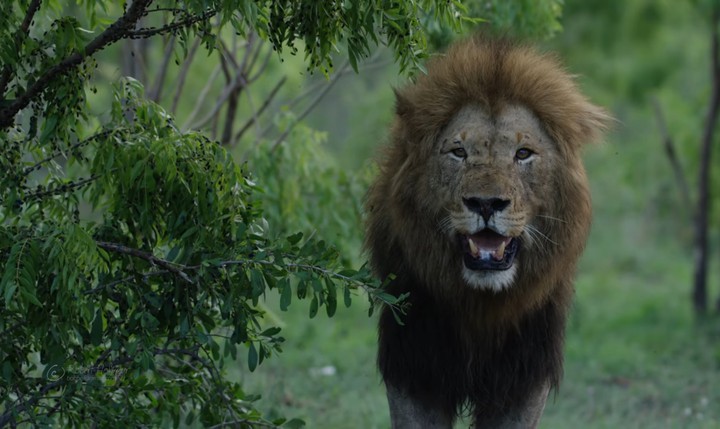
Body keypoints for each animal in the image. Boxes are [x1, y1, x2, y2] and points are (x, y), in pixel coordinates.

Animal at [364, 35, 611, 428]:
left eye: (523, 153)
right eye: (458, 152)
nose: (485, 203)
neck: (481, 307)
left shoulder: (524, 376)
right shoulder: (414, 366)